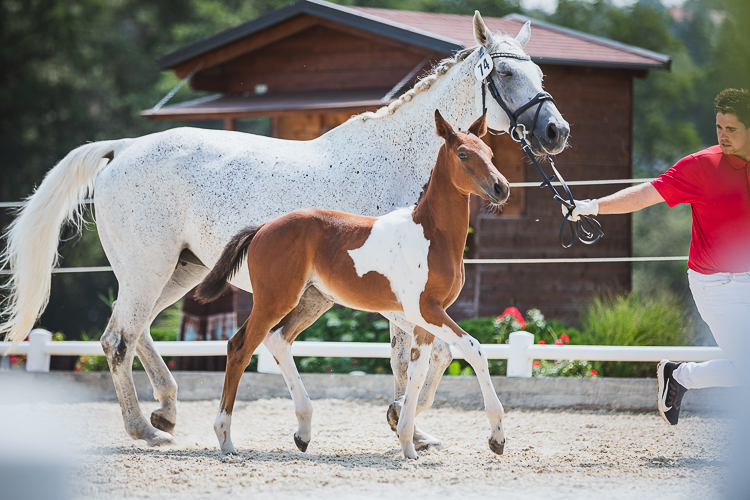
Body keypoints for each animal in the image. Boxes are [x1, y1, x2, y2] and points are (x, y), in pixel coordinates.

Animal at [196, 110, 507, 459]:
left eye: (490, 153)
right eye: (463, 154)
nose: (502, 188)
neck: (432, 235)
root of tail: (264, 227)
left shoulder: (425, 319)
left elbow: (417, 372)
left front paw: (408, 443)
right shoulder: (425, 310)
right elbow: (474, 349)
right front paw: (496, 437)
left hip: (312, 301)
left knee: (278, 340)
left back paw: (303, 432)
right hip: (274, 300)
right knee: (240, 347)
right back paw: (225, 439)